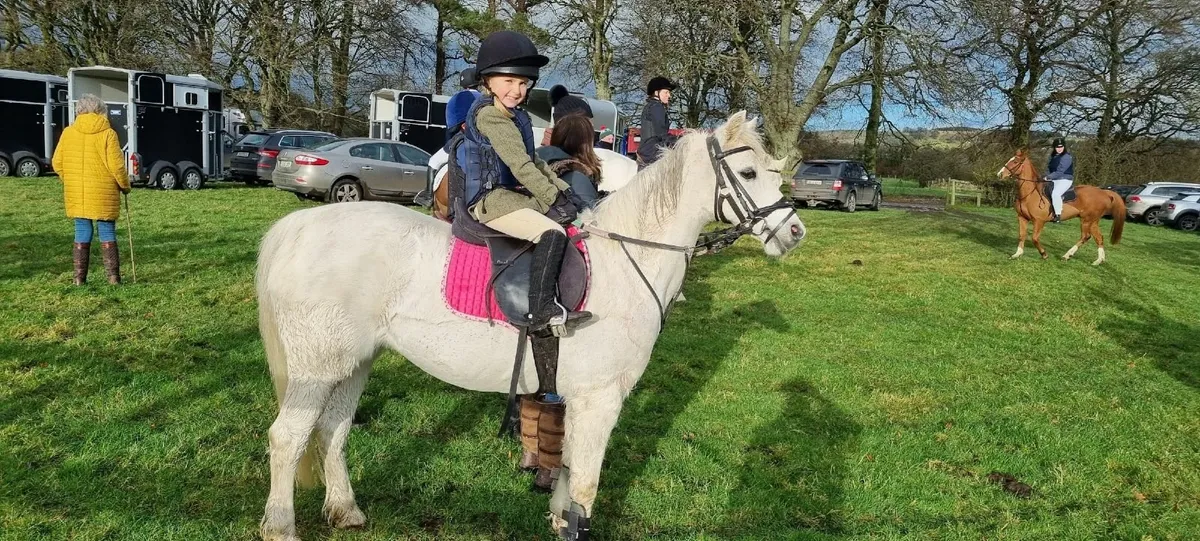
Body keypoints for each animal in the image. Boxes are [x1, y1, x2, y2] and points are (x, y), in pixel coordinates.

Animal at [256, 111, 806, 541]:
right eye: (749, 171)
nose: (794, 231)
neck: (627, 259)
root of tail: (297, 227)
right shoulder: (600, 399)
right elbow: (584, 484)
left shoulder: (575, 399)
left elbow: (566, 476)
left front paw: (559, 521)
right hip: (316, 369)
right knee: (287, 437)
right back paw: (280, 525)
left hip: (354, 363)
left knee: (332, 430)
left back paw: (345, 510)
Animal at [998, 148, 1126, 265]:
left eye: (1015, 162)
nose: (1000, 174)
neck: (1030, 194)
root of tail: (1104, 192)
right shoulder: (1022, 218)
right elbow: (1022, 235)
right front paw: (1017, 254)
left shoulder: (1039, 221)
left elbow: (1034, 238)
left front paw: (1044, 254)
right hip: (1093, 221)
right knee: (1099, 238)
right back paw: (1099, 261)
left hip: (1086, 220)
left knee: (1085, 236)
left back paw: (1067, 255)